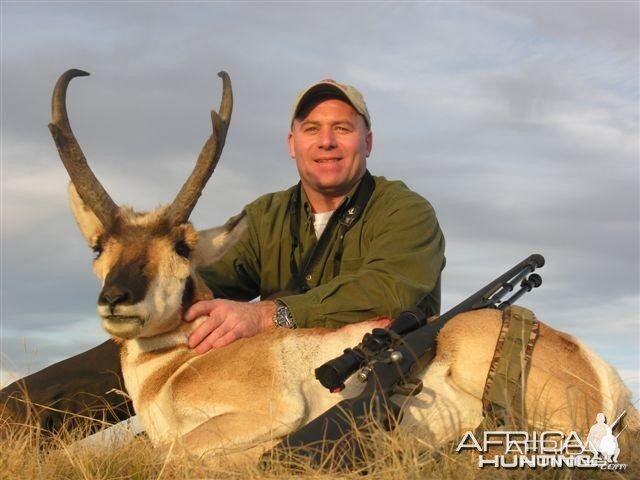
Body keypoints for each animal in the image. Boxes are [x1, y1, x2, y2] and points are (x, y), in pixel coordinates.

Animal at [48, 66, 636, 458]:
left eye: (182, 246)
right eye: (99, 245)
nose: (117, 299)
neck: (178, 365)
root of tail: (597, 367)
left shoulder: (268, 414)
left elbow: (171, 456)